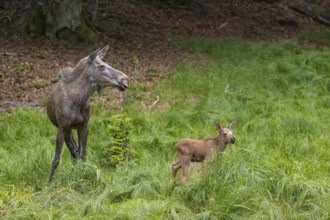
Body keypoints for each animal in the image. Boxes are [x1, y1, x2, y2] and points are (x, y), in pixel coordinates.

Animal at [47, 46, 130, 182]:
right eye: (101, 66)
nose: (125, 80)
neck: (77, 100)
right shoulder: (62, 127)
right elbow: (57, 158)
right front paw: (49, 183)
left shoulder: (84, 125)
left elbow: (83, 156)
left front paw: (82, 177)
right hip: (67, 130)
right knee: (72, 151)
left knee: (75, 152)